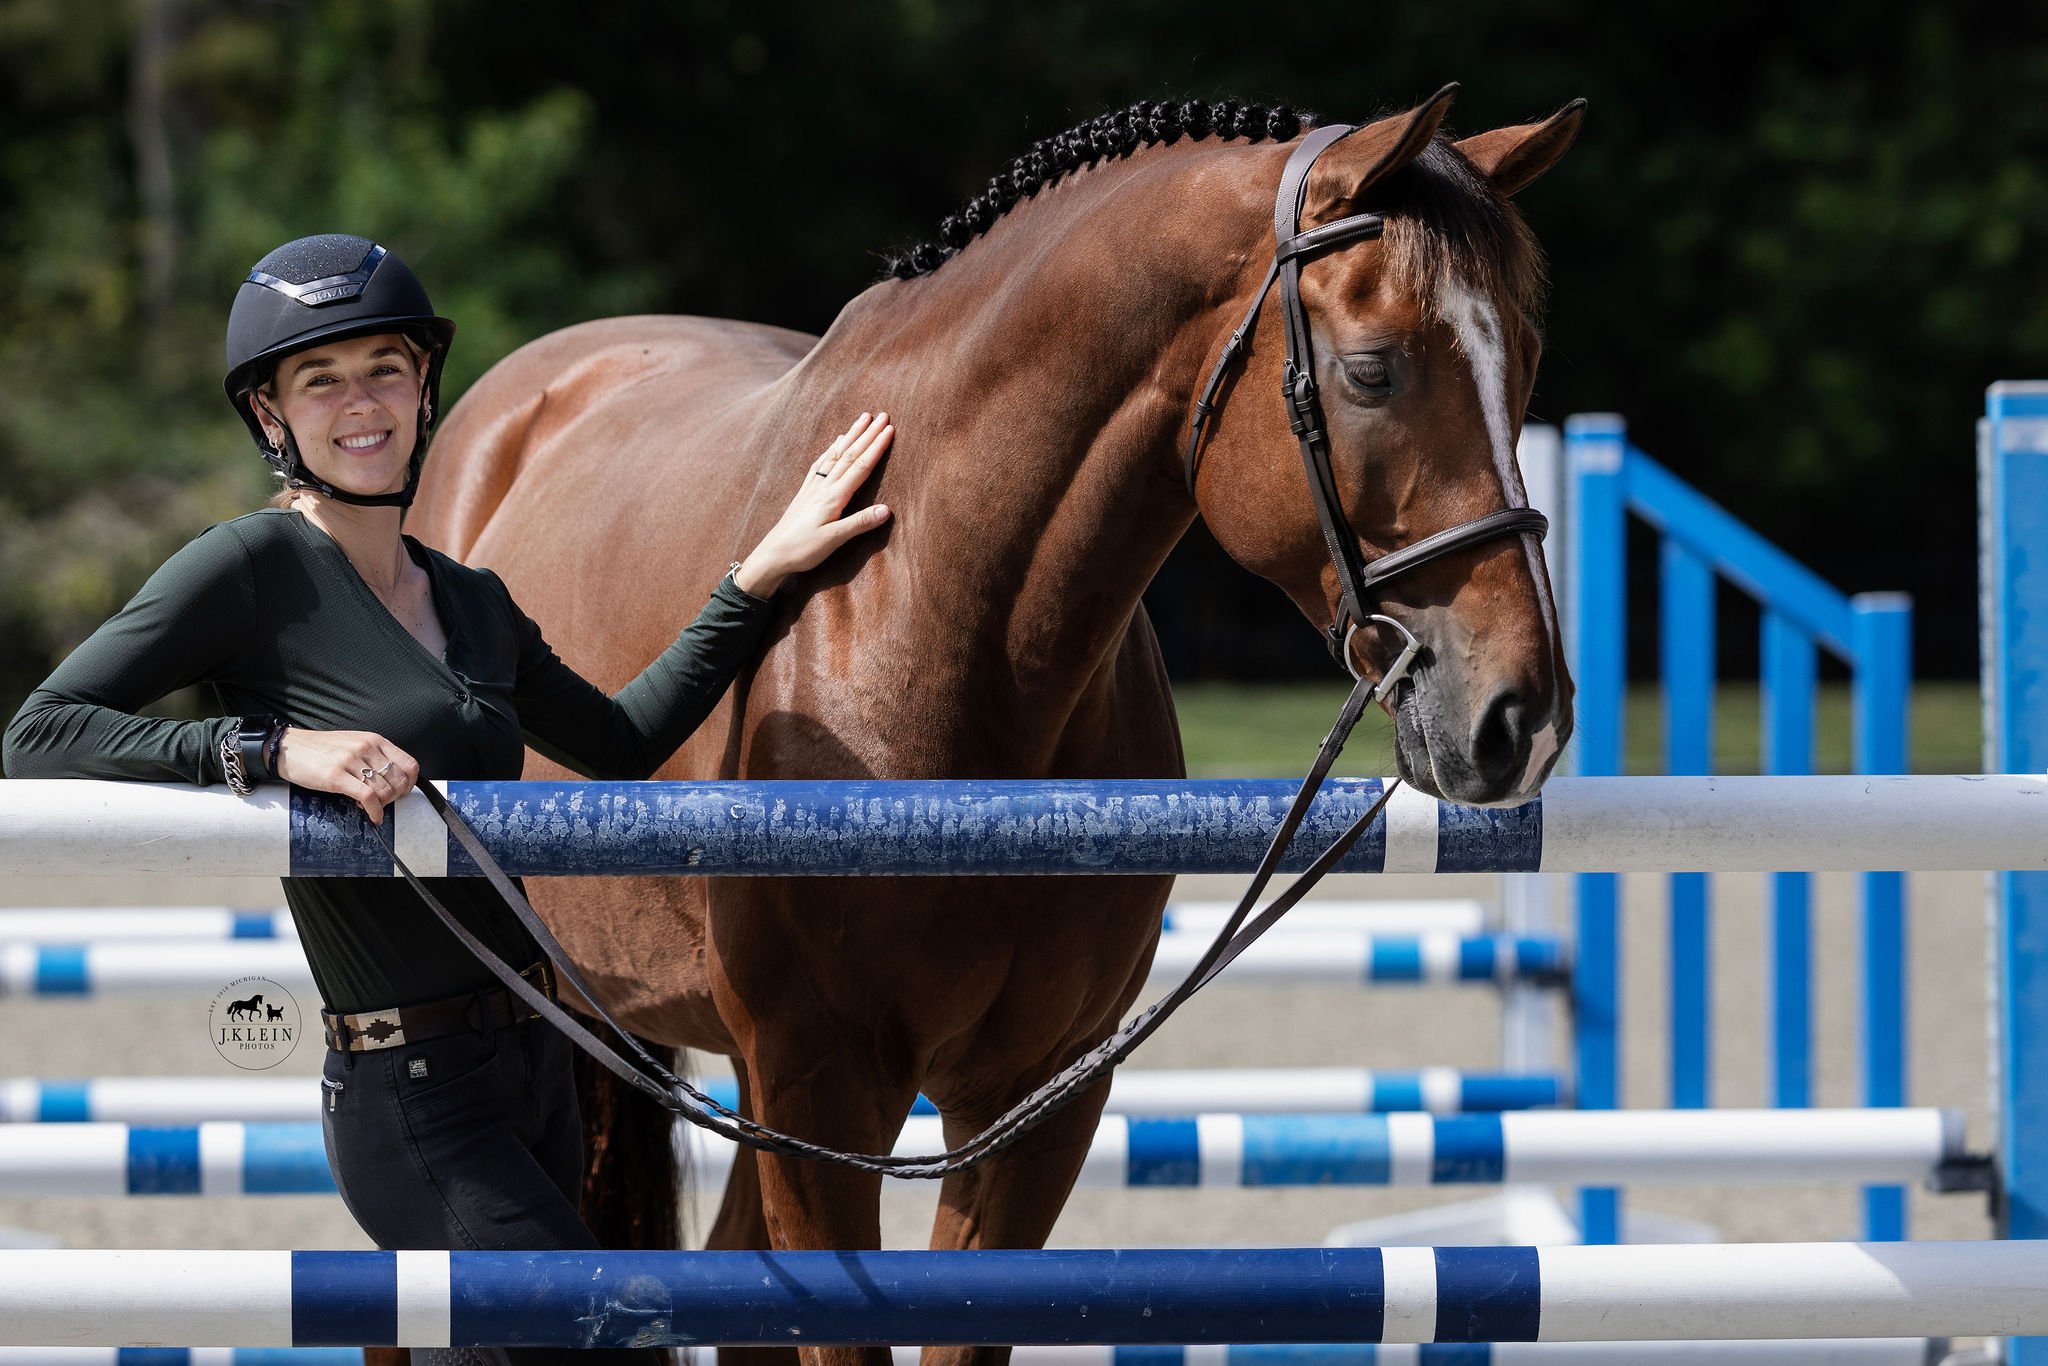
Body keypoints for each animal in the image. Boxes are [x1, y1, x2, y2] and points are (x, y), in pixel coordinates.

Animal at [406, 86, 1581, 1366]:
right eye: (1371, 373)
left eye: (1524, 362)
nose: (1518, 715)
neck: (933, 618)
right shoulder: (822, 1092)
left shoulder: (1033, 1100)